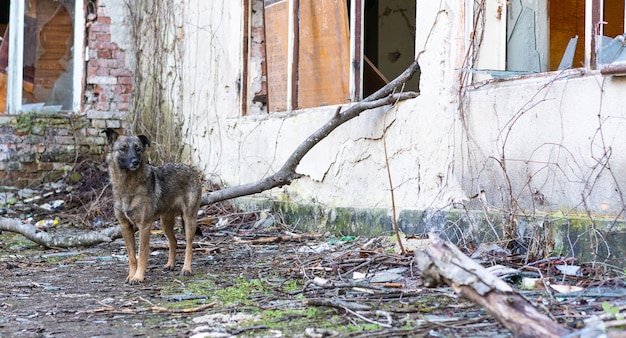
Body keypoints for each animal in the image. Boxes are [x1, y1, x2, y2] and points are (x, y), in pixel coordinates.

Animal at [102, 128, 200, 284]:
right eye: (123, 149)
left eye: (138, 149)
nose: (135, 162)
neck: (127, 185)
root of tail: (190, 169)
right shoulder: (125, 227)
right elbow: (132, 256)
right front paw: (131, 275)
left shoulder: (144, 225)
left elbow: (142, 253)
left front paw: (138, 277)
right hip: (165, 222)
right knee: (173, 241)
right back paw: (170, 264)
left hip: (189, 219)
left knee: (189, 245)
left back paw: (186, 269)